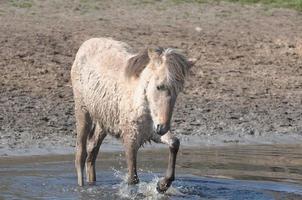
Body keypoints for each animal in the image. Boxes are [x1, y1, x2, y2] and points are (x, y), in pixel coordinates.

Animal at [70, 37, 196, 192]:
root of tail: (87, 43)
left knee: (91, 154)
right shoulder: (130, 139)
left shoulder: (151, 132)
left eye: (178, 90)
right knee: (81, 154)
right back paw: (82, 187)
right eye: (159, 86)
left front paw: (162, 185)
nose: (163, 127)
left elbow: (174, 143)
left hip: (103, 121)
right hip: (83, 112)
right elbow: (133, 178)